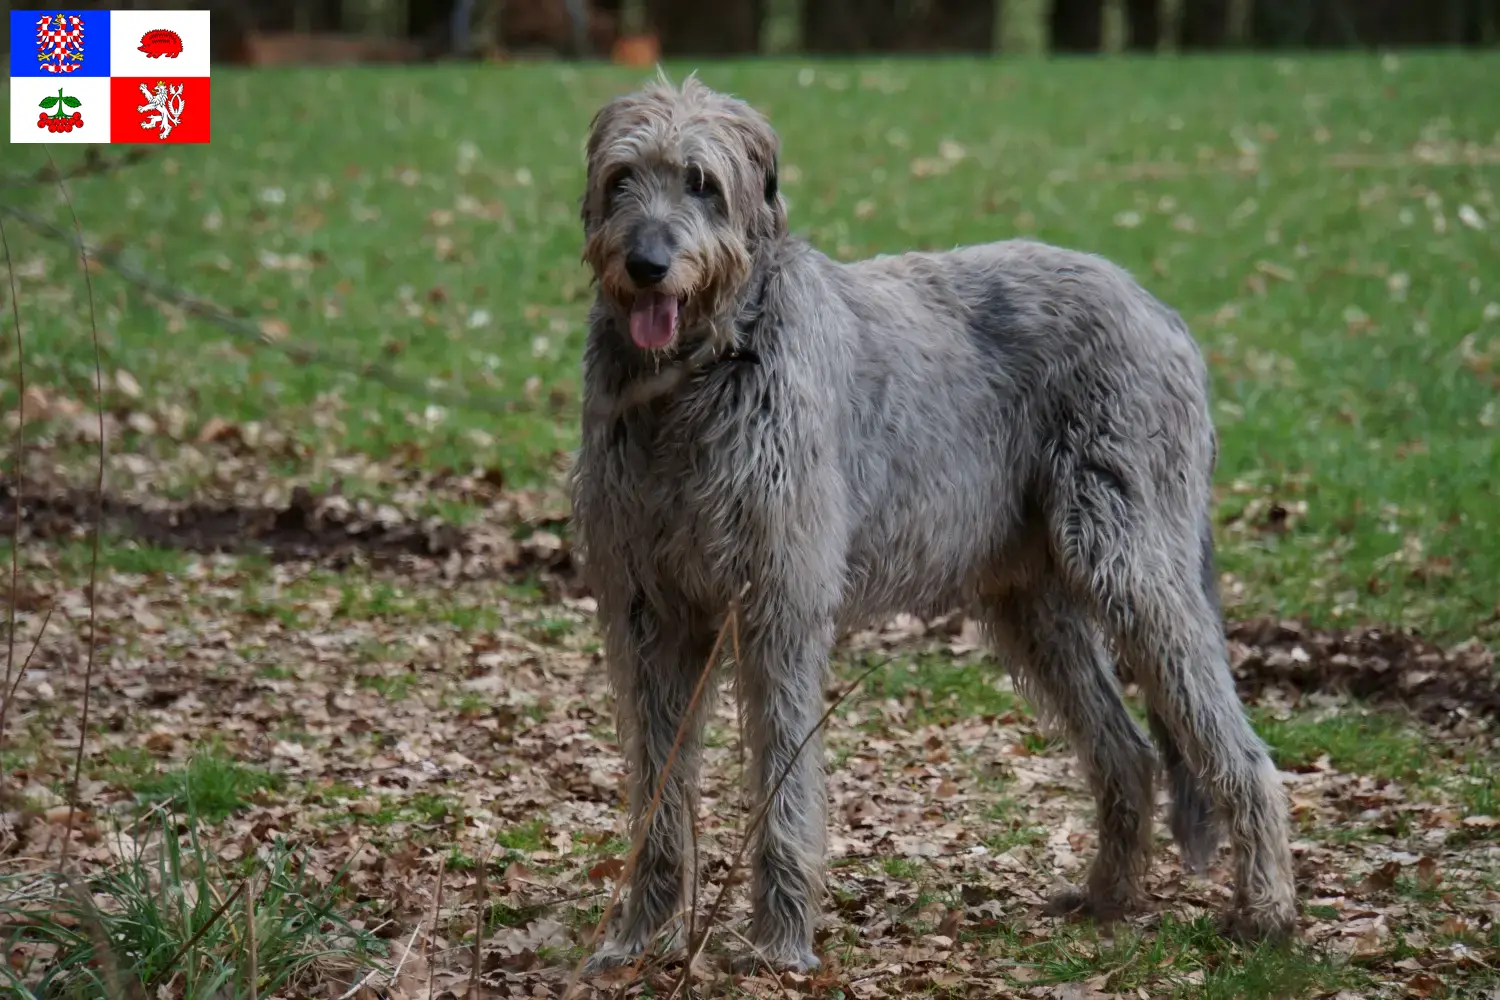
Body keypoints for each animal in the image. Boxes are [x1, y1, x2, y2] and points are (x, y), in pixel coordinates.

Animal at [567, 72, 1296, 977]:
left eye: (703, 182)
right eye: (623, 178)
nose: (647, 265)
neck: (698, 376)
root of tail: (1163, 312)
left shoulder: (779, 603)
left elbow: (784, 782)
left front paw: (780, 943)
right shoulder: (650, 610)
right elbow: (657, 784)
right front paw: (638, 936)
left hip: (1133, 558)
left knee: (1240, 749)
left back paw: (1266, 909)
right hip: (1035, 601)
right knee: (1126, 751)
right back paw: (1107, 897)